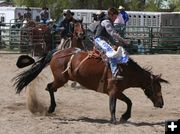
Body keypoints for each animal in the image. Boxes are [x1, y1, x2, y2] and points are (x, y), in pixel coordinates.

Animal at [13, 47, 168, 124]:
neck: (125, 70)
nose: (161, 103)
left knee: (50, 87)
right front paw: (114, 120)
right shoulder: (113, 91)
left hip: (61, 79)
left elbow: (129, 102)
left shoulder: (117, 91)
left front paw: (125, 117)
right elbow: (113, 106)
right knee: (50, 88)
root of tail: (57, 52)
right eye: (157, 88)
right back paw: (51, 108)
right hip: (61, 79)